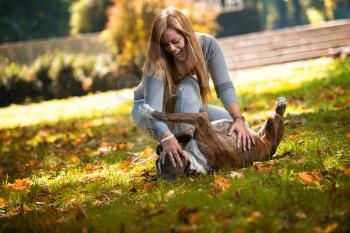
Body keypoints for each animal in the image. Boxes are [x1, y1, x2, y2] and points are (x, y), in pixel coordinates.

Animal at [139, 97, 288, 180]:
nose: (157, 157)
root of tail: (270, 148)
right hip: (265, 128)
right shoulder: (200, 121)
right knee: (277, 115)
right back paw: (281, 104)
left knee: (277, 114)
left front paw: (147, 111)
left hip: (268, 123)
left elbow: (172, 118)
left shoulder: (200, 119)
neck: (197, 160)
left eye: (162, 159)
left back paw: (281, 104)